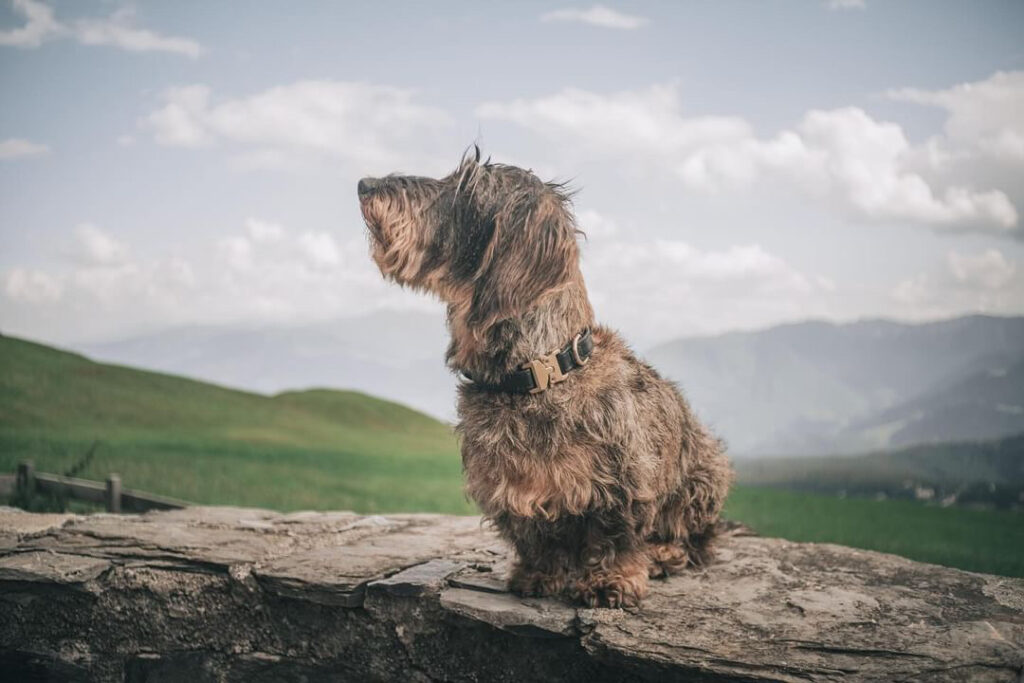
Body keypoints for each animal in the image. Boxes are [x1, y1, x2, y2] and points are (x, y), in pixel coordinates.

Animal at [356, 150, 733, 610]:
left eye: (464, 189)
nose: (365, 184)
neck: (540, 374)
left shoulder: (624, 484)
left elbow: (616, 538)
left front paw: (610, 580)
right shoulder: (511, 488)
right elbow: (538, 539)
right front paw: (539, 573)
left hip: (705, 472)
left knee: (697, 540)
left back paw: (664, 552)